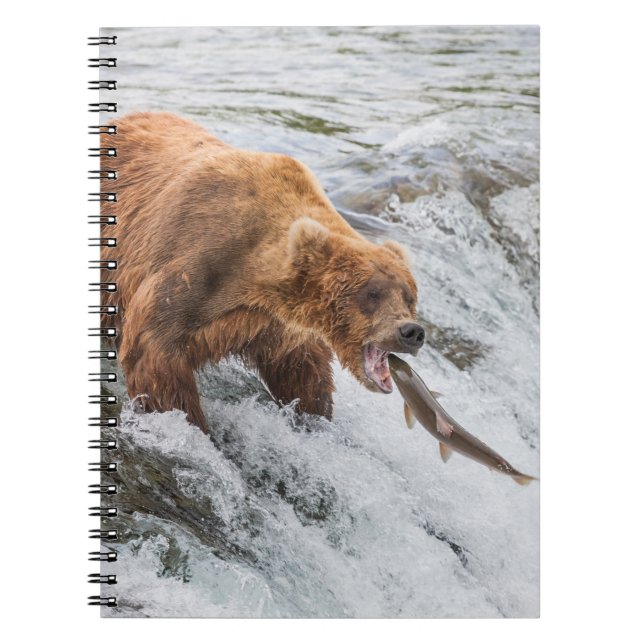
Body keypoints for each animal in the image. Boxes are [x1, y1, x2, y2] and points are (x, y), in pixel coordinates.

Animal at [101, 112, 425, 432]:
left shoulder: (275, 325)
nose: (411, 331)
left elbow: (303, 372)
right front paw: (191, 423)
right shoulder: (194, 268)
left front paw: (313, 416)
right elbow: (154, 352)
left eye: (409, 297)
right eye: (372, 293)